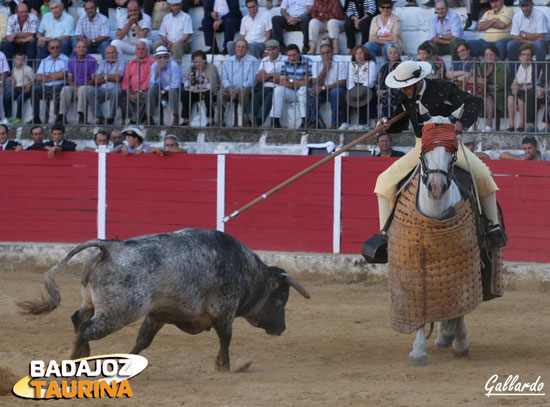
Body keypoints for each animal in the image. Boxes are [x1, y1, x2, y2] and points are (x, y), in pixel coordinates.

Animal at [18, 228, 310, 372]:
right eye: (281, 299)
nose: (282, 328)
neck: (245, 269)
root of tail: (110, 248)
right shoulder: (224, 311)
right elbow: (226, 338)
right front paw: (224, 367)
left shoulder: (157, 315)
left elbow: (142, 342)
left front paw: (125, 364)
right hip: (117, 314)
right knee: (86, 329)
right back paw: (77, 358)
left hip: (91, 303)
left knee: (78, 319)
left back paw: (79, 357)